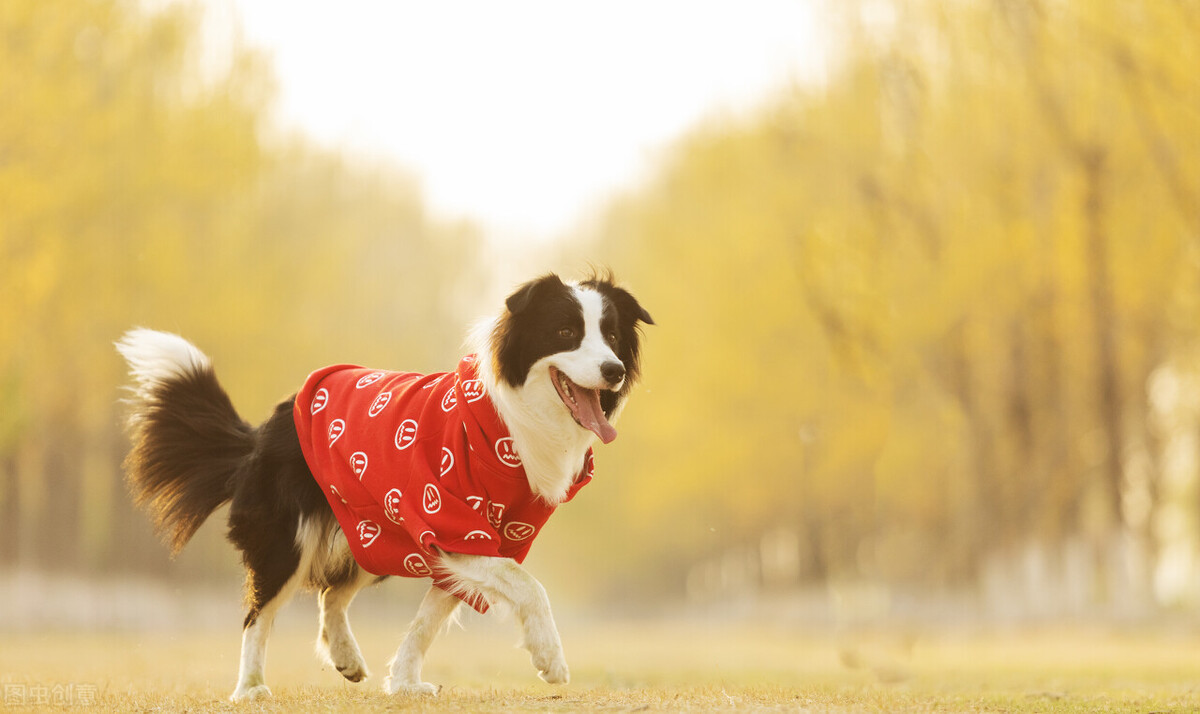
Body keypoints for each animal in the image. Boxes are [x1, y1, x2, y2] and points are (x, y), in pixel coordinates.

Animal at [117, 271, 652, 700]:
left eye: (610, 335)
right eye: (565, 332)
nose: (614, 370)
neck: (513, 419)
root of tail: (265, 427)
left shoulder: (482, 537)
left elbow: (428, 620)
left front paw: (405, 683)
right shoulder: (450, 521)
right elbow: (529, 586)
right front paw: (550, 660)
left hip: (372, 528)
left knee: (332, 596)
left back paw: (346, 658)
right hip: (290, 539)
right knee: (258, 614)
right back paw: (250, 688)